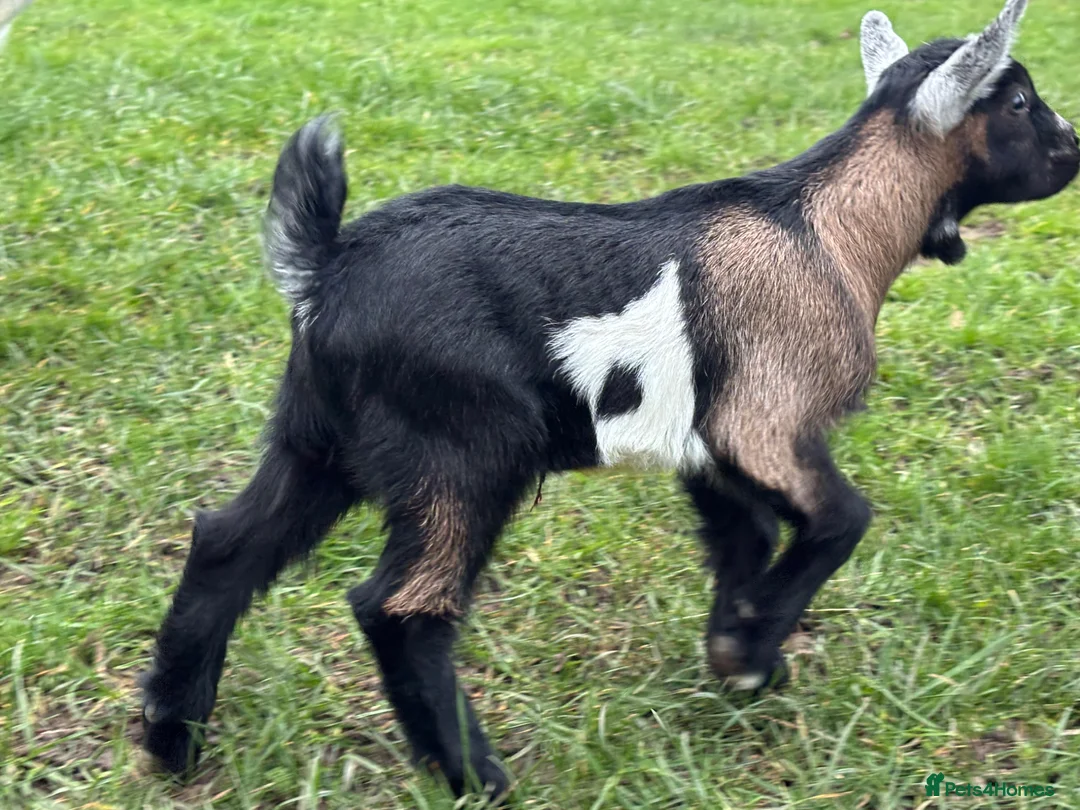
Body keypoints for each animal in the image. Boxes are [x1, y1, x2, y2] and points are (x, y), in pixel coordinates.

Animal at [142, 0, 1078, 799]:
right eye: (1020, 101)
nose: (1073, 147)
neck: (826, 229)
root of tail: (325, 268)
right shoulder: (765, 416)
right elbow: (843, 518)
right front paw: (749, 649)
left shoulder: (710, 445)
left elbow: (747, 534)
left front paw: (741, 649)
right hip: (463, 448)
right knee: (401, 607)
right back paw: (478, 776)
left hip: (319, 439)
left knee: (226, 545)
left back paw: (171, 739)